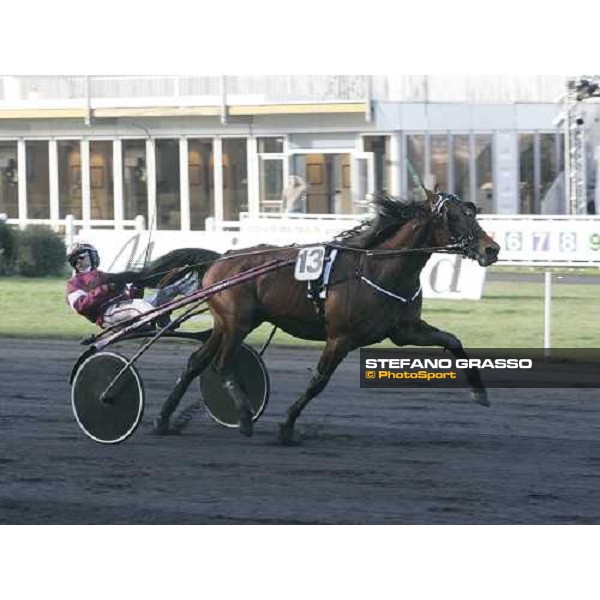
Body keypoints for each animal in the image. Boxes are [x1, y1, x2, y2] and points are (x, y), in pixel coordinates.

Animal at [110, 190, 500, 442]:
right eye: (454, 216)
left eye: (474, 213)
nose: (491, 249)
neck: (380, 268)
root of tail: (222, 258)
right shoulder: (340, 337)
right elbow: (318, 382)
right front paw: (286, 426)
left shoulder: (404, 330)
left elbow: (453, 341)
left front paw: (479, 393)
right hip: (238, 322)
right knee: (220, 364)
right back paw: (244, 417)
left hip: (226, 323)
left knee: (196, 363)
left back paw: (164, 420)